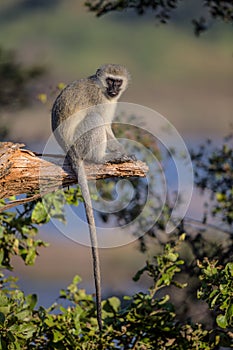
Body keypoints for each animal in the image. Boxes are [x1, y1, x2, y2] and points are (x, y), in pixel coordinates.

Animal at [51, 65, 133, 330]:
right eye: (110, 80)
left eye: (118, 81)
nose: (114, 89)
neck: (102, 89)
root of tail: (71, 153)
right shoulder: (100, 100)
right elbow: (104, 124)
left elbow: (109, 127)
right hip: (81, 144)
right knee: (95, 121)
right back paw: (102, 158)